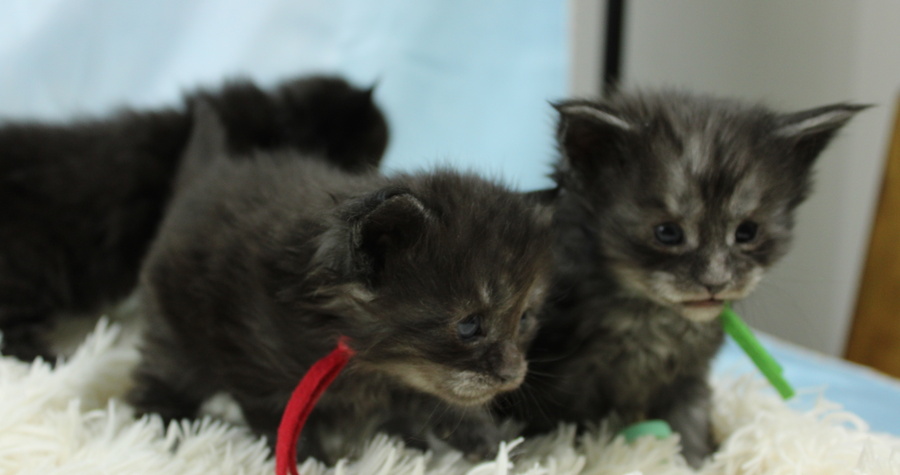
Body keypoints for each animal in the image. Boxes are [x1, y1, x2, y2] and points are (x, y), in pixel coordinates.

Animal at [129, 104, 552, 464]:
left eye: (525, 319)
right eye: (469, 325)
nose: (514, 373)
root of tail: (209, 174)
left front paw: (495, 445)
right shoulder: (260, 370)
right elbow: (286, 429)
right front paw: (313, 462)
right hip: (176, 334)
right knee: (161, 375)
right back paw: (161, 426)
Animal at [500, 91, 864, 466]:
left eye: (747, 232)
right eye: (668, 233)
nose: (716, 281)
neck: (653, 321)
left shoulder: (688, 378)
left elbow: (689, 426)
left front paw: (698, 460)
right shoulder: (553, 385)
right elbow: (552, 442)